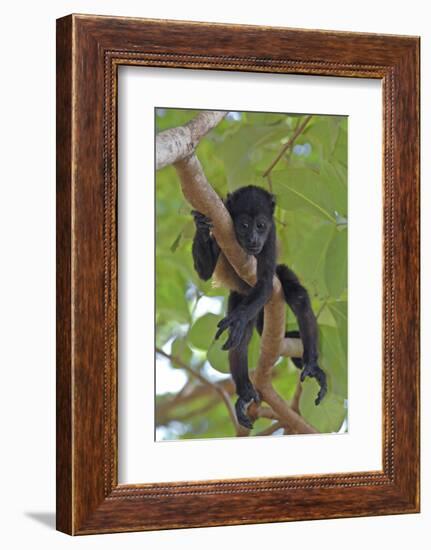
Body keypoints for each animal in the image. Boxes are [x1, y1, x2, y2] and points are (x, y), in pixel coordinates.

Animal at [192, 185, 328, 432]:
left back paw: (312, 364)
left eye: (261, 225)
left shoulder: (271, 236)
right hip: (239, 297)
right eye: (244, 225)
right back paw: (245, 392)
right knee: (242, 338)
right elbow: (204, 273)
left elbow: (265, 283)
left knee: (298, 297)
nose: (254, 238)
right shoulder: (220, 221)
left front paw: (237, 319)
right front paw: (200, 225)